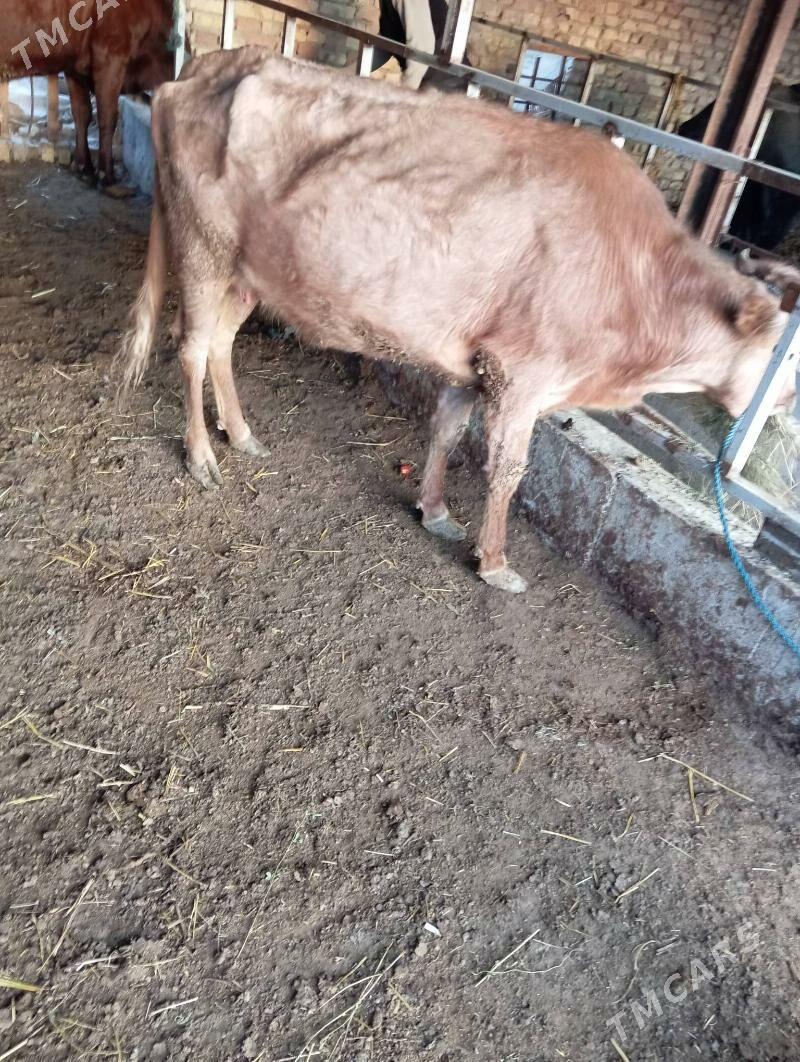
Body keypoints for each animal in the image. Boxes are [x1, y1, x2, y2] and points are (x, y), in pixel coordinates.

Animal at [0, 0, 175, 186]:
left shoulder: (74, 67)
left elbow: (81, 113)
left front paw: (83, 167)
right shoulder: (110, 54)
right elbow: (107, 117)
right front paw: (106, 174)